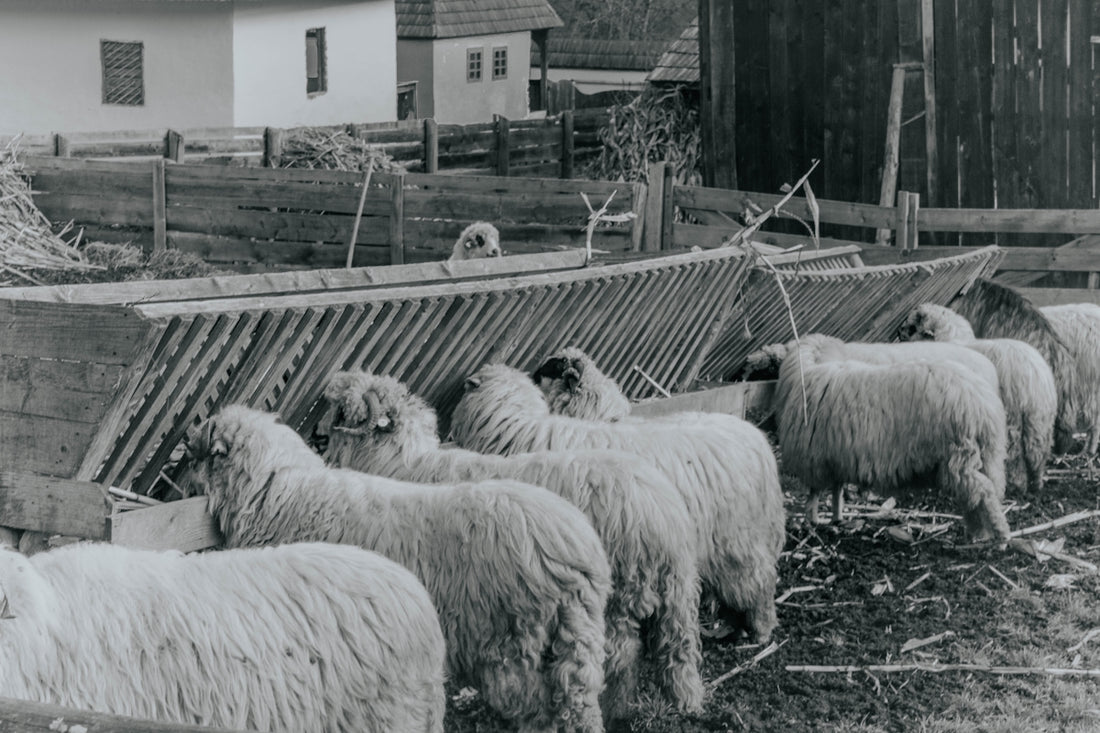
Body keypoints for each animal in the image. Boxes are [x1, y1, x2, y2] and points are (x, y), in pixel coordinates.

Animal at [182, 404, 611, 733]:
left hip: (517, 649)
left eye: (202, 451)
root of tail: (580, 551)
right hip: (571, 640)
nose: (186, 438)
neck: (279, 491)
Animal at [319, 370, 705, 717]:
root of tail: (661, 509)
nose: (316, 435)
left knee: (622, 655)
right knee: (679, 646)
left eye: (341, 412)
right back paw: (686, 702)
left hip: (618, 596)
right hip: (675, 588)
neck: (402, 461)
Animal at [450, 363, 786, 644]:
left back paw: (760, 630)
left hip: (736, 540)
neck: (522, 429)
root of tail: (757, 441)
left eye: (547, 370)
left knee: (761, 580)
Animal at [770, 334, 1011, 542]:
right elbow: (837, 490)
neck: (809, 368)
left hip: (960, 456)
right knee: (985, 492)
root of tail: (983, 403)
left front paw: (812, 521)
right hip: (985, 456)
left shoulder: (814, 458)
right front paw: (836, 518)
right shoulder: (835, 456)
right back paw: (980, 532)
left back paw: (1001, 535)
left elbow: (814, 494)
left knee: (985, 493)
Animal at [899, 303, 1057, 492]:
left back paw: (1016, 484)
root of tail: (1035, 378)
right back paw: (1036, 483)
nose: (898, 333)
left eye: (913, 328)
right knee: (1037, 452)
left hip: (1013, 417)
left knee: (1014, 453)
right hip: (1039, 421)